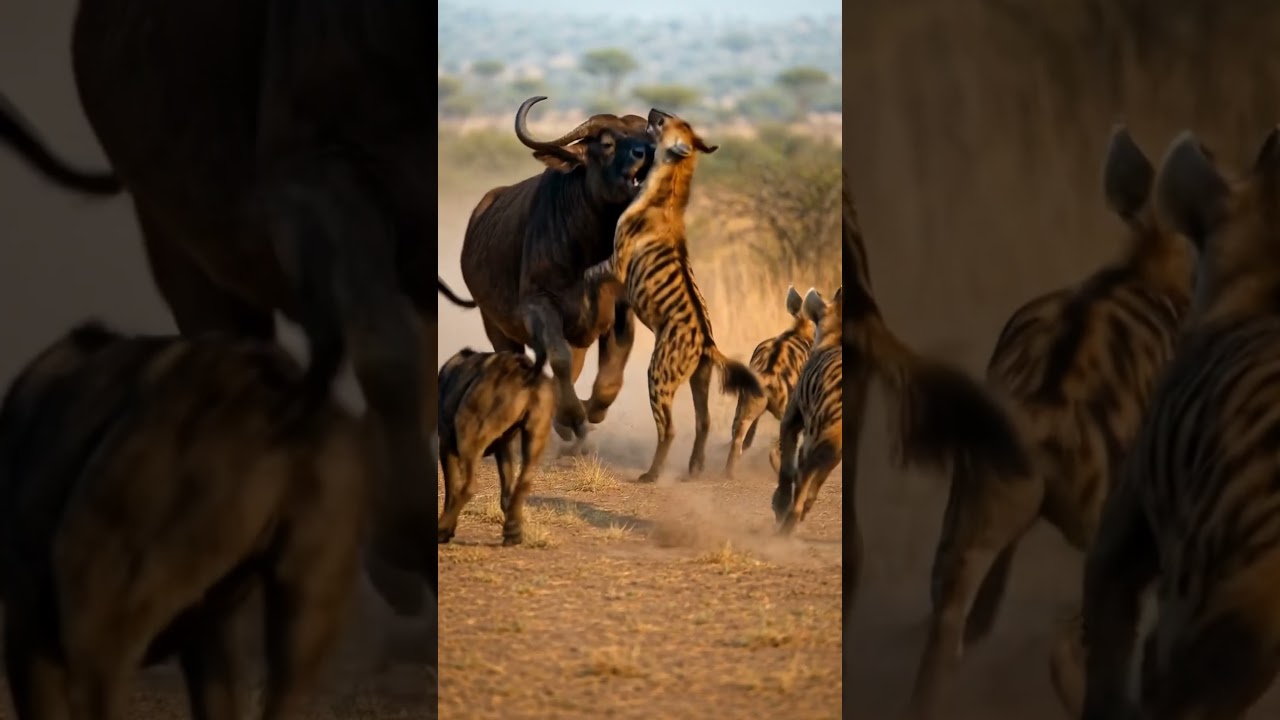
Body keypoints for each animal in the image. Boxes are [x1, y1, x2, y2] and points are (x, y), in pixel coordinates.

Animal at [459, 96, 656, 445]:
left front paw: (589, 412)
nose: (645, 154)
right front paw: (570, 418)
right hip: (495, 324)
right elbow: (560, 360)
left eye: (648, 135)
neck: (590, 252)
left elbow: (611, 374)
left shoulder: (620, 309)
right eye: (607, 143)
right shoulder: (539, 305)